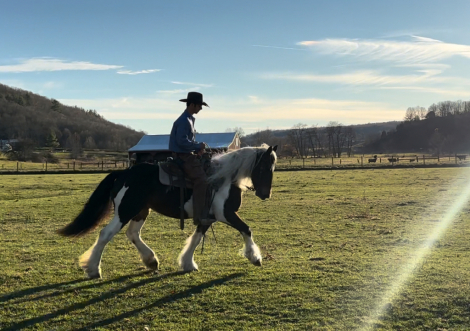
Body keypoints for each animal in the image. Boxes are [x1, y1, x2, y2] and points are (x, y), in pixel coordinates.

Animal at [58, 145, 280, 278]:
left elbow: (196, 238)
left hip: (141, 211)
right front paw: (255, 258)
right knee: (106, 234)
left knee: (132, 233)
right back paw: (93, 269)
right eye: (264, 168)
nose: (265, 194)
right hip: (125, 211)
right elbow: (246, 229)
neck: (223, 179)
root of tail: (124, 173)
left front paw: (188, 263)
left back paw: (151, 261)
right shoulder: (225, 214)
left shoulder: (207, 218)